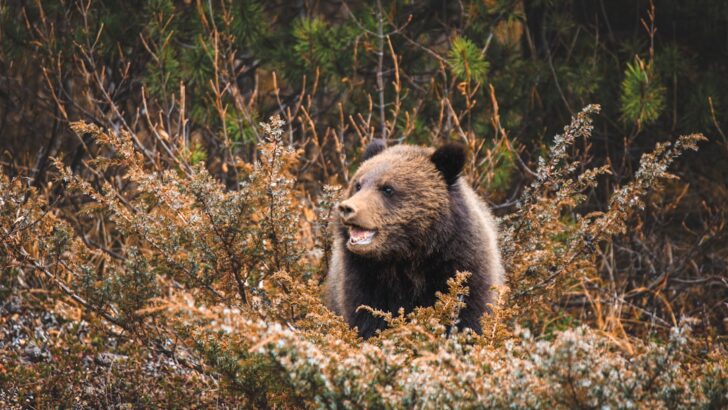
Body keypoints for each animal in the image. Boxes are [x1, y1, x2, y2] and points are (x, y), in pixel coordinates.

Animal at [324, 140, 505, 339]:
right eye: (358, 184)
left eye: (387, 188)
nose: (347, 208)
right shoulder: (364, 278)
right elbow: (366, 319)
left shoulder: (462, 268)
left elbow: (468, 318)